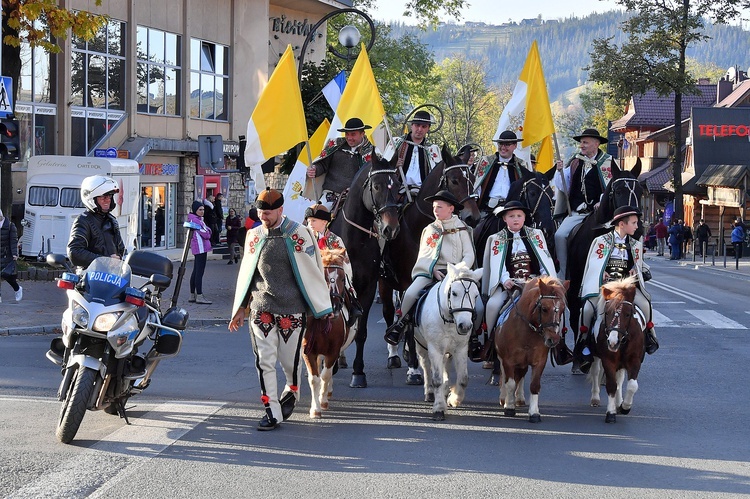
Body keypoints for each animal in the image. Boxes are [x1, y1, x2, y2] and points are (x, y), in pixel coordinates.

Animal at [302, 249, 356, 418]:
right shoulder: (308, 352)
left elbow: (326, 375)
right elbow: (314, 379)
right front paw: (315, 408)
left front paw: (323, 401)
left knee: (329, 371)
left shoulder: (333, 351)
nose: (334, 305)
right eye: (322, 276)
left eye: (342, 278)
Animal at [332, 154, 406, 388]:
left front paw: (358, 373)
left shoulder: (368, 286)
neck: (355, 240)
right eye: (376, 186)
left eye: (398, 186)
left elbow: (361, 331)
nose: (391, 228)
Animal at [412, 262, 482, 422]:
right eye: (454, 293)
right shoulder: (434, 348)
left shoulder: (461, 348)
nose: (465, 326)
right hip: (421, 345)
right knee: (426, 366)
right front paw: (439, 408)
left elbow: (463, 379)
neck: (450, 320)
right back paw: (430, 393)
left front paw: (454, 399)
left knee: (446, 367)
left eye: (476, 295)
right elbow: (437, 378)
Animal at [496, 276, 572, 424]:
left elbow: (534, 385)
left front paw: (534, 413)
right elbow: (510, 383)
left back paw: (519, 398)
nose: (553, 340)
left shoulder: (539, 361)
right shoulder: (508, 361)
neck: (526, 332)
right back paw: (504, 398)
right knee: (504, 375)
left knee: (520, 376)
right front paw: (509, 406)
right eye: (544, 308)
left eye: (562, 309)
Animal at [588, 278, 648, 426]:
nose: (612, 342)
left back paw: (619, 402)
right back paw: (595, 398)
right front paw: (611, 413)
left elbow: (632, 385)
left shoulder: (634, 360)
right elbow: (611, 385)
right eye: (607, 313)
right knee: (596, 372)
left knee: (620, 380)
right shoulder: (608, 360)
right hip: (597, 356)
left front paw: (625, 407)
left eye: (627, 314)